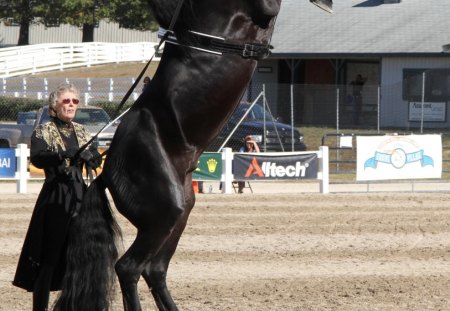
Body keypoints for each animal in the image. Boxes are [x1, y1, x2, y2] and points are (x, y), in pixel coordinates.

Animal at [54, 0, 330, 311]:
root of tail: (107, 172)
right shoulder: (263, 9)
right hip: (165, 214)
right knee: (128, 268)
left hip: (179, 213)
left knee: (154, 270)